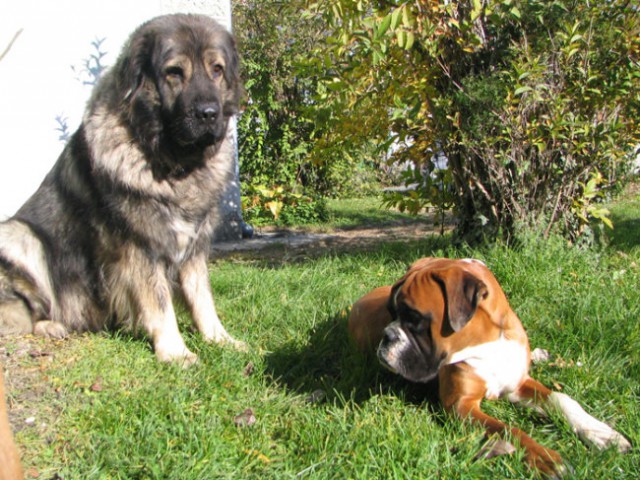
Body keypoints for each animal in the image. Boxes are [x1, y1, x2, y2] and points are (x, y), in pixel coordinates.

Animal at [350, 258, 632, 476]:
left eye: (414, 318)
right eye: (391, 313)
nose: (387, 335)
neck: (488, 347)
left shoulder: (517, 385)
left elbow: (562, 399)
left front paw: (602, 433)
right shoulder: (462, 406)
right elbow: (510, 430)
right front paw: (548, 459)